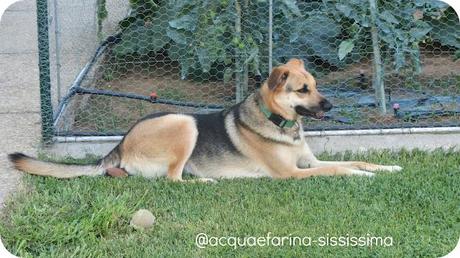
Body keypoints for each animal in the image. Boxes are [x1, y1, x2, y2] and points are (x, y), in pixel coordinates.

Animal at [8, 58, 402, 181]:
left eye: (316, 85)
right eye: (303, 89)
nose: (331, 105)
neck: (280, 124)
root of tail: (120, 144)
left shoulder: (309, 162)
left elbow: (355, 159)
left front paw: (386, 168)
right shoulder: (292, 173)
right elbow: (337, 169)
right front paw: (359, 176)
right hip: (184, 123)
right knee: (172, 179)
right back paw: (206, 180)